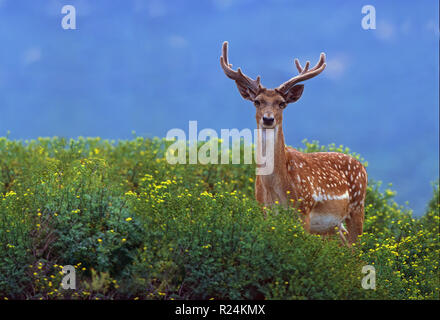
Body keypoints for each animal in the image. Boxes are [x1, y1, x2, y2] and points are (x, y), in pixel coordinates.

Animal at [220, 40, 368, 245]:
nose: (268, 119)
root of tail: (362, 166)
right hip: (334, 227)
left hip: (357, 207)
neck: (275, 189)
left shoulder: (303, 210)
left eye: (282, 103)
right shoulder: (263, 211)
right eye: (257, 101)